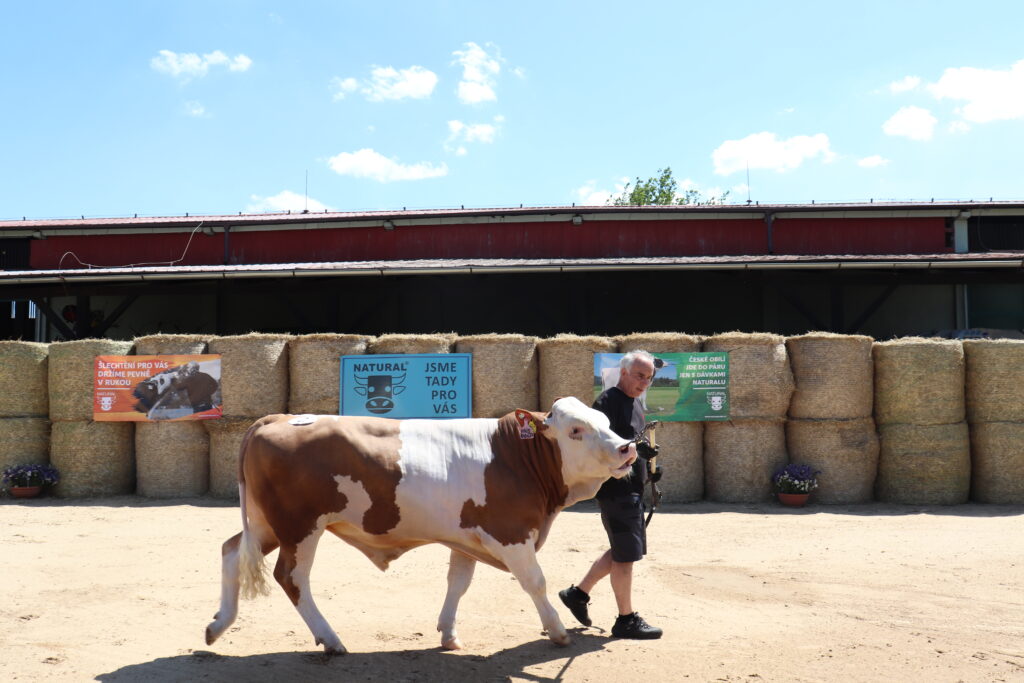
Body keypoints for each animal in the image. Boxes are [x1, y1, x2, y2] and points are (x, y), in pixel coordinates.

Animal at [206, 397, 634, 655]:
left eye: (607, 421)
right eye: (576, 430)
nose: (628, 447)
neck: (513, 455)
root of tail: (279, 417)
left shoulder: (467, 536)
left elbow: (458, 583)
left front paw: (448, 633)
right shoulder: (511, 532)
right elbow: (535, 582)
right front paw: (557, 630)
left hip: (267, 524)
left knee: (231, 551)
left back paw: (219, 624)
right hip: (299, 526)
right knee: (291, 577)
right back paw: (330, 639)